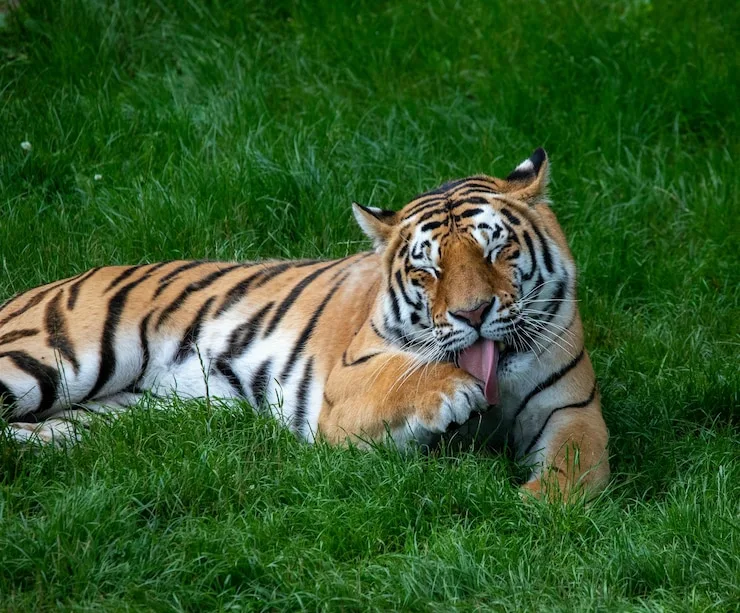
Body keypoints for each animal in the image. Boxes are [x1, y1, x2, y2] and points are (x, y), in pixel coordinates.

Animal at [0, 148, 609, 501]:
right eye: (428, 268)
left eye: (495, 249)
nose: (473, 313)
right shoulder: (343, 389)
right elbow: (407, 378)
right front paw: (452, 393)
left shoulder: (570, 411)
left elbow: (578, 468)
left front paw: (538, 509)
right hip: (48, 357)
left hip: (112, 416)